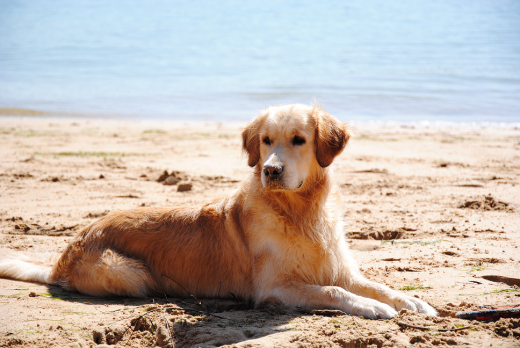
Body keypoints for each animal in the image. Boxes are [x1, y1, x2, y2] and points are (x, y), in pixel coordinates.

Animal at [2, 103, 436, 318]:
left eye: (299, 140)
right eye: (265, 141)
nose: (270, 170)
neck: (300, 211)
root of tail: (62, 258)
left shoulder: (340, 268)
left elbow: (374, 284)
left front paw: (411, 301)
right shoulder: (273, 288)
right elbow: (333, 291)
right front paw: (375, 308)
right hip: (132, 272)